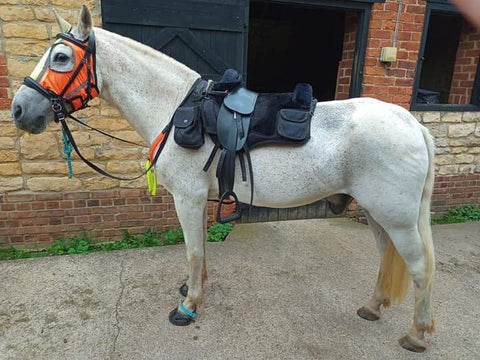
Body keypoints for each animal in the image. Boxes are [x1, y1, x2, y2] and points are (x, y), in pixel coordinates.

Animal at [13, 7, 436, 352]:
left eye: (61, 57)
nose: (19, 110)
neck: (175, 109)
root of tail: (413, 124)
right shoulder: (199, 198)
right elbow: (200, 249)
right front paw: (194, 289)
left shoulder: (187, 198)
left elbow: (192, 250)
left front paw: (187, 308)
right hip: (377, 213)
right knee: (387, 257)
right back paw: (372, 307)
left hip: (394, 216)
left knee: (419, 268)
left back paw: (417, 334)